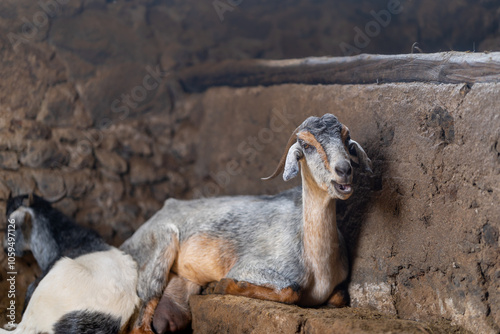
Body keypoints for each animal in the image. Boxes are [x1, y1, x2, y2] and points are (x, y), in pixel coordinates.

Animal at [121, 113, 372, 332]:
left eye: (346, 139)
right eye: (306, 145)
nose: (344, 170)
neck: (317, 264)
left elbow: (340, 296)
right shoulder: (249, 266)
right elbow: (292, 289)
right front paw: (217, 286)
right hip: (161, 248)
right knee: (139, 324)